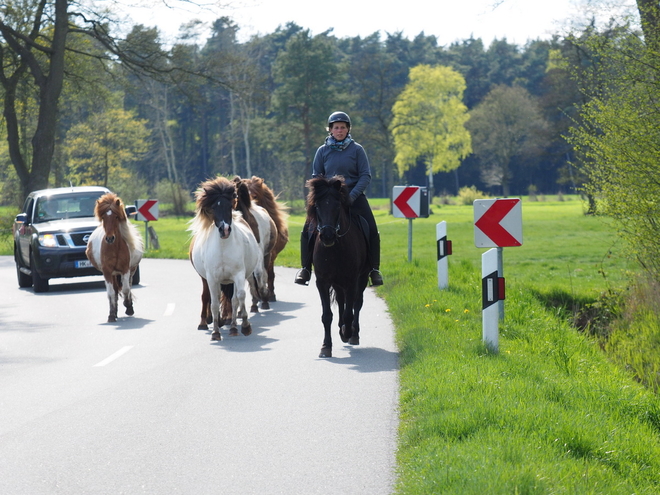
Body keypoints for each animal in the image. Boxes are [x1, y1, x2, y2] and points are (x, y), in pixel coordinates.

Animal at [85, 192, 143, 324]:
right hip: (113, 274)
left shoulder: (125, 269)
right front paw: (111, 315)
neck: (114, 247)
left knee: (128, 286)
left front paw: (128, 306)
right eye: (103, 218)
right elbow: (111, 293)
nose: (110, 238)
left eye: (116, 217)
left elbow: (126, 289)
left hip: (130, 271)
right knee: (115, 291)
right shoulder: (107, 272)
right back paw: (115, 312)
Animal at [188, 176, 262, 342]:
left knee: (234, 299)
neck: (223, 247)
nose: (225, 230)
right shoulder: (212, 278)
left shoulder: (238, 275)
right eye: (214, 207)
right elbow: (214, 302)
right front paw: (215, 332)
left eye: (229, 206)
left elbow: (239, 297)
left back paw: (233, 327)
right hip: (207, 278)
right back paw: (207, 323)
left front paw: (245, 326)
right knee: (208, 297)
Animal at [306, 176, 372, 358]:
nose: (327, 236)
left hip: (361, 278)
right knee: (342, 301)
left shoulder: (351, 281)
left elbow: (350, 312)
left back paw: (353, 334)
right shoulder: (322, 282)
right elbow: (327, 315)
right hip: (337, 282)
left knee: (357, 303)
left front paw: (347, 332)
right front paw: (326, 347)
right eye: (317, 207)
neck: (335, 249)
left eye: (337, 206)